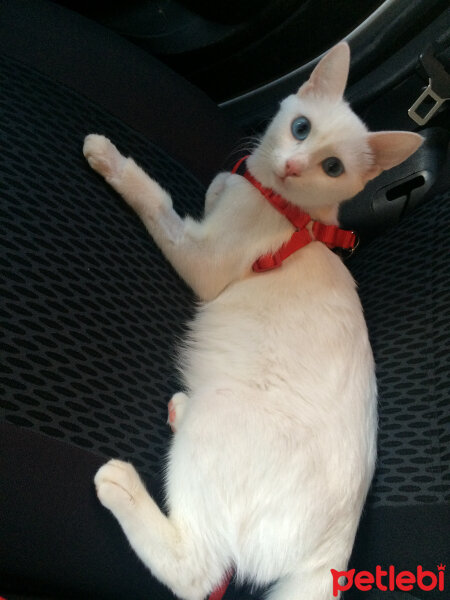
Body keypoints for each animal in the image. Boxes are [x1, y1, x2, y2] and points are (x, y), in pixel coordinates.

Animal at [83, 42, 422, 600]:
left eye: (332, 166)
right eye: (301, 127)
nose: (293, 165)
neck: (291, 211)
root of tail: (334, 550)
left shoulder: (203, 260)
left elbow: (155, 199)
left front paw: (109, 157)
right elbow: (221, 181)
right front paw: (225, 182)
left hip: (223, 415)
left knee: (198, 572)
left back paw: (121, 484)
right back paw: (179, 410)